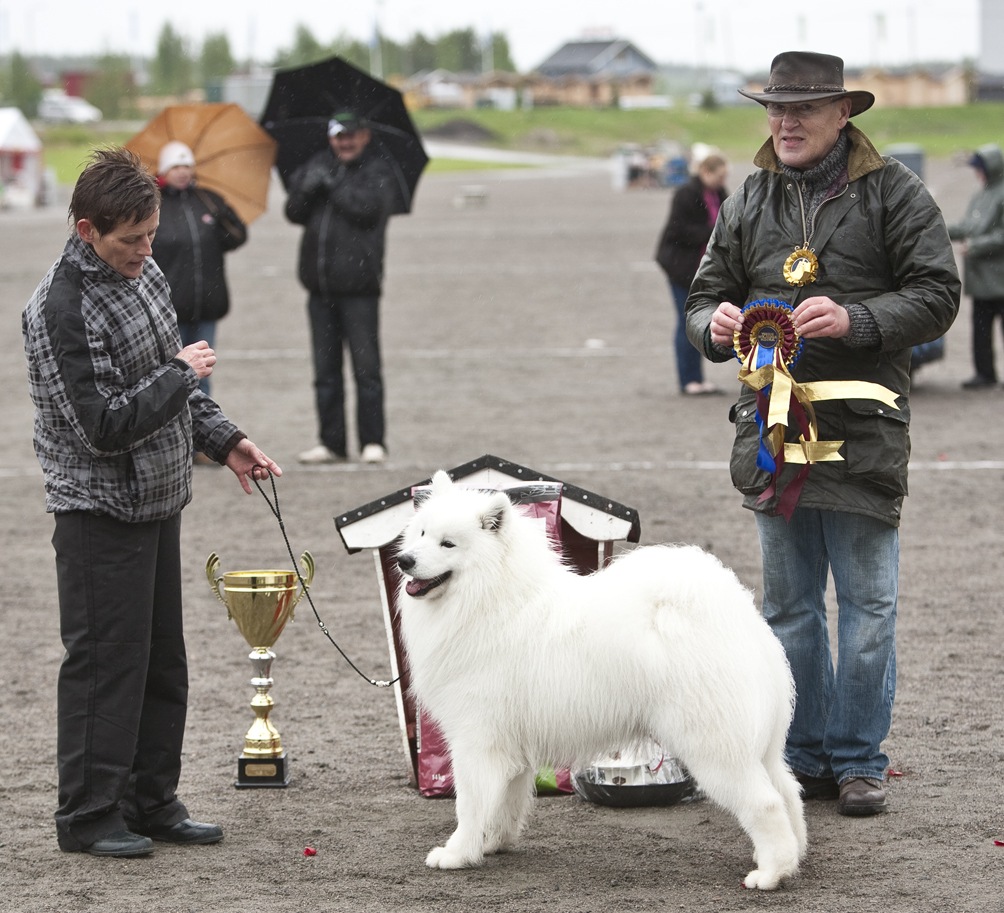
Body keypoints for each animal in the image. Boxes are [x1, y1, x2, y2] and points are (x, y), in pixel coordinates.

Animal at [395, 471, 806, 890]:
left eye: (448, 543)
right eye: (421, 532)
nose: (403, 559)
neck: (492, 599)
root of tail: (737, 616)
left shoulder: (476, 739)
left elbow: (470, 804)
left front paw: (457, 854)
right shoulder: (509, 747)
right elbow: (504, 803)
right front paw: (492, 844)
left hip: (712, 745)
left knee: (765, 802)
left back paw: (770, 873)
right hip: (760, 745)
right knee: (788, 791)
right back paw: (793, 858)